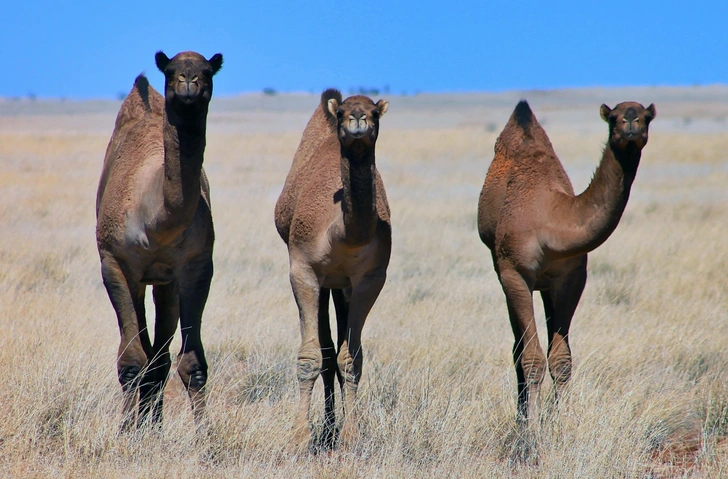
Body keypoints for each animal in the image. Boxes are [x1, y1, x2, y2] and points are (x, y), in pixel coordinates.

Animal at [95, 50, 223, 430]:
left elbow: (192, 362)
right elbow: (131, 360)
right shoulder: (115, 263)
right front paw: (125, 431)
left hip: (166, 284)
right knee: (145, 350)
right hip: (137, 279)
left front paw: (204, 435)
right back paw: (142, 423)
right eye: (170, 71)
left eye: (208, 71)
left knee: (161, 355)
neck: (156, 221)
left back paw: (154, 422)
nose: (189, 83)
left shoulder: (196, 268)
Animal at [272, 88, 390, 452]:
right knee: (324, 350)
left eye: (375, 112)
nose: (357, 120)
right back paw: (324, 430)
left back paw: (332, 429)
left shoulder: (370, 279)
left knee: (335, 351)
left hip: (342, 286)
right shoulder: (303, 270)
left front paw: (351, 435)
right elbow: (311, 357)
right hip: (324, 283)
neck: (341, 234)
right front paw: (300, 437)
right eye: (342, 113)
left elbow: (350, 359)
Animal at [478, 100, 656, 420]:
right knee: (518, 347)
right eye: (613, 118)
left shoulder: (572, 277)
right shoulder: (515, 272)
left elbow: (561, 359)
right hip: (503, 270)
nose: (631, 122)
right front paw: (532, 425)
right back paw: (521, 415)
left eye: (647, 117)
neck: (553, 220)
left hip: (546, 285)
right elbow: (532, 357)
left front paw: (560, 420)